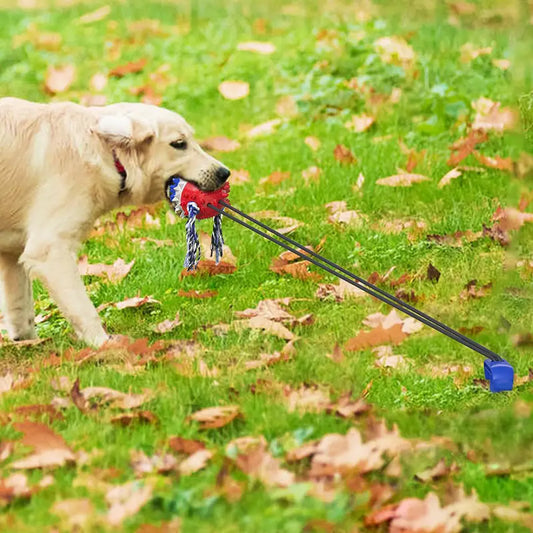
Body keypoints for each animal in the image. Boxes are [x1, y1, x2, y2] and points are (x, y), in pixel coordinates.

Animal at [0, 97, 229, 348]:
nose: (225, 173)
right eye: (179, 144)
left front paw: (25, 342)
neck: (108, 152)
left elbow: (20, 310)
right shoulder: (50, 250)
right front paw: (105, 346)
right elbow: (84, 310)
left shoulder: (12, 253)